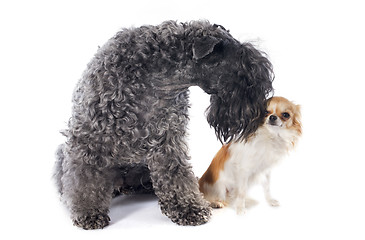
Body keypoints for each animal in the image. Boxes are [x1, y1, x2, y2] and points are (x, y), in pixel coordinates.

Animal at [54, 20, 272, 229]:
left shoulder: (168, 140)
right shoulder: (89, 140)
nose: (262, 110)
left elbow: (176, 174)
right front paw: (88, 212)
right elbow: (85, 179)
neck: (159, 81)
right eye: (245, 71)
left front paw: (189, 207)